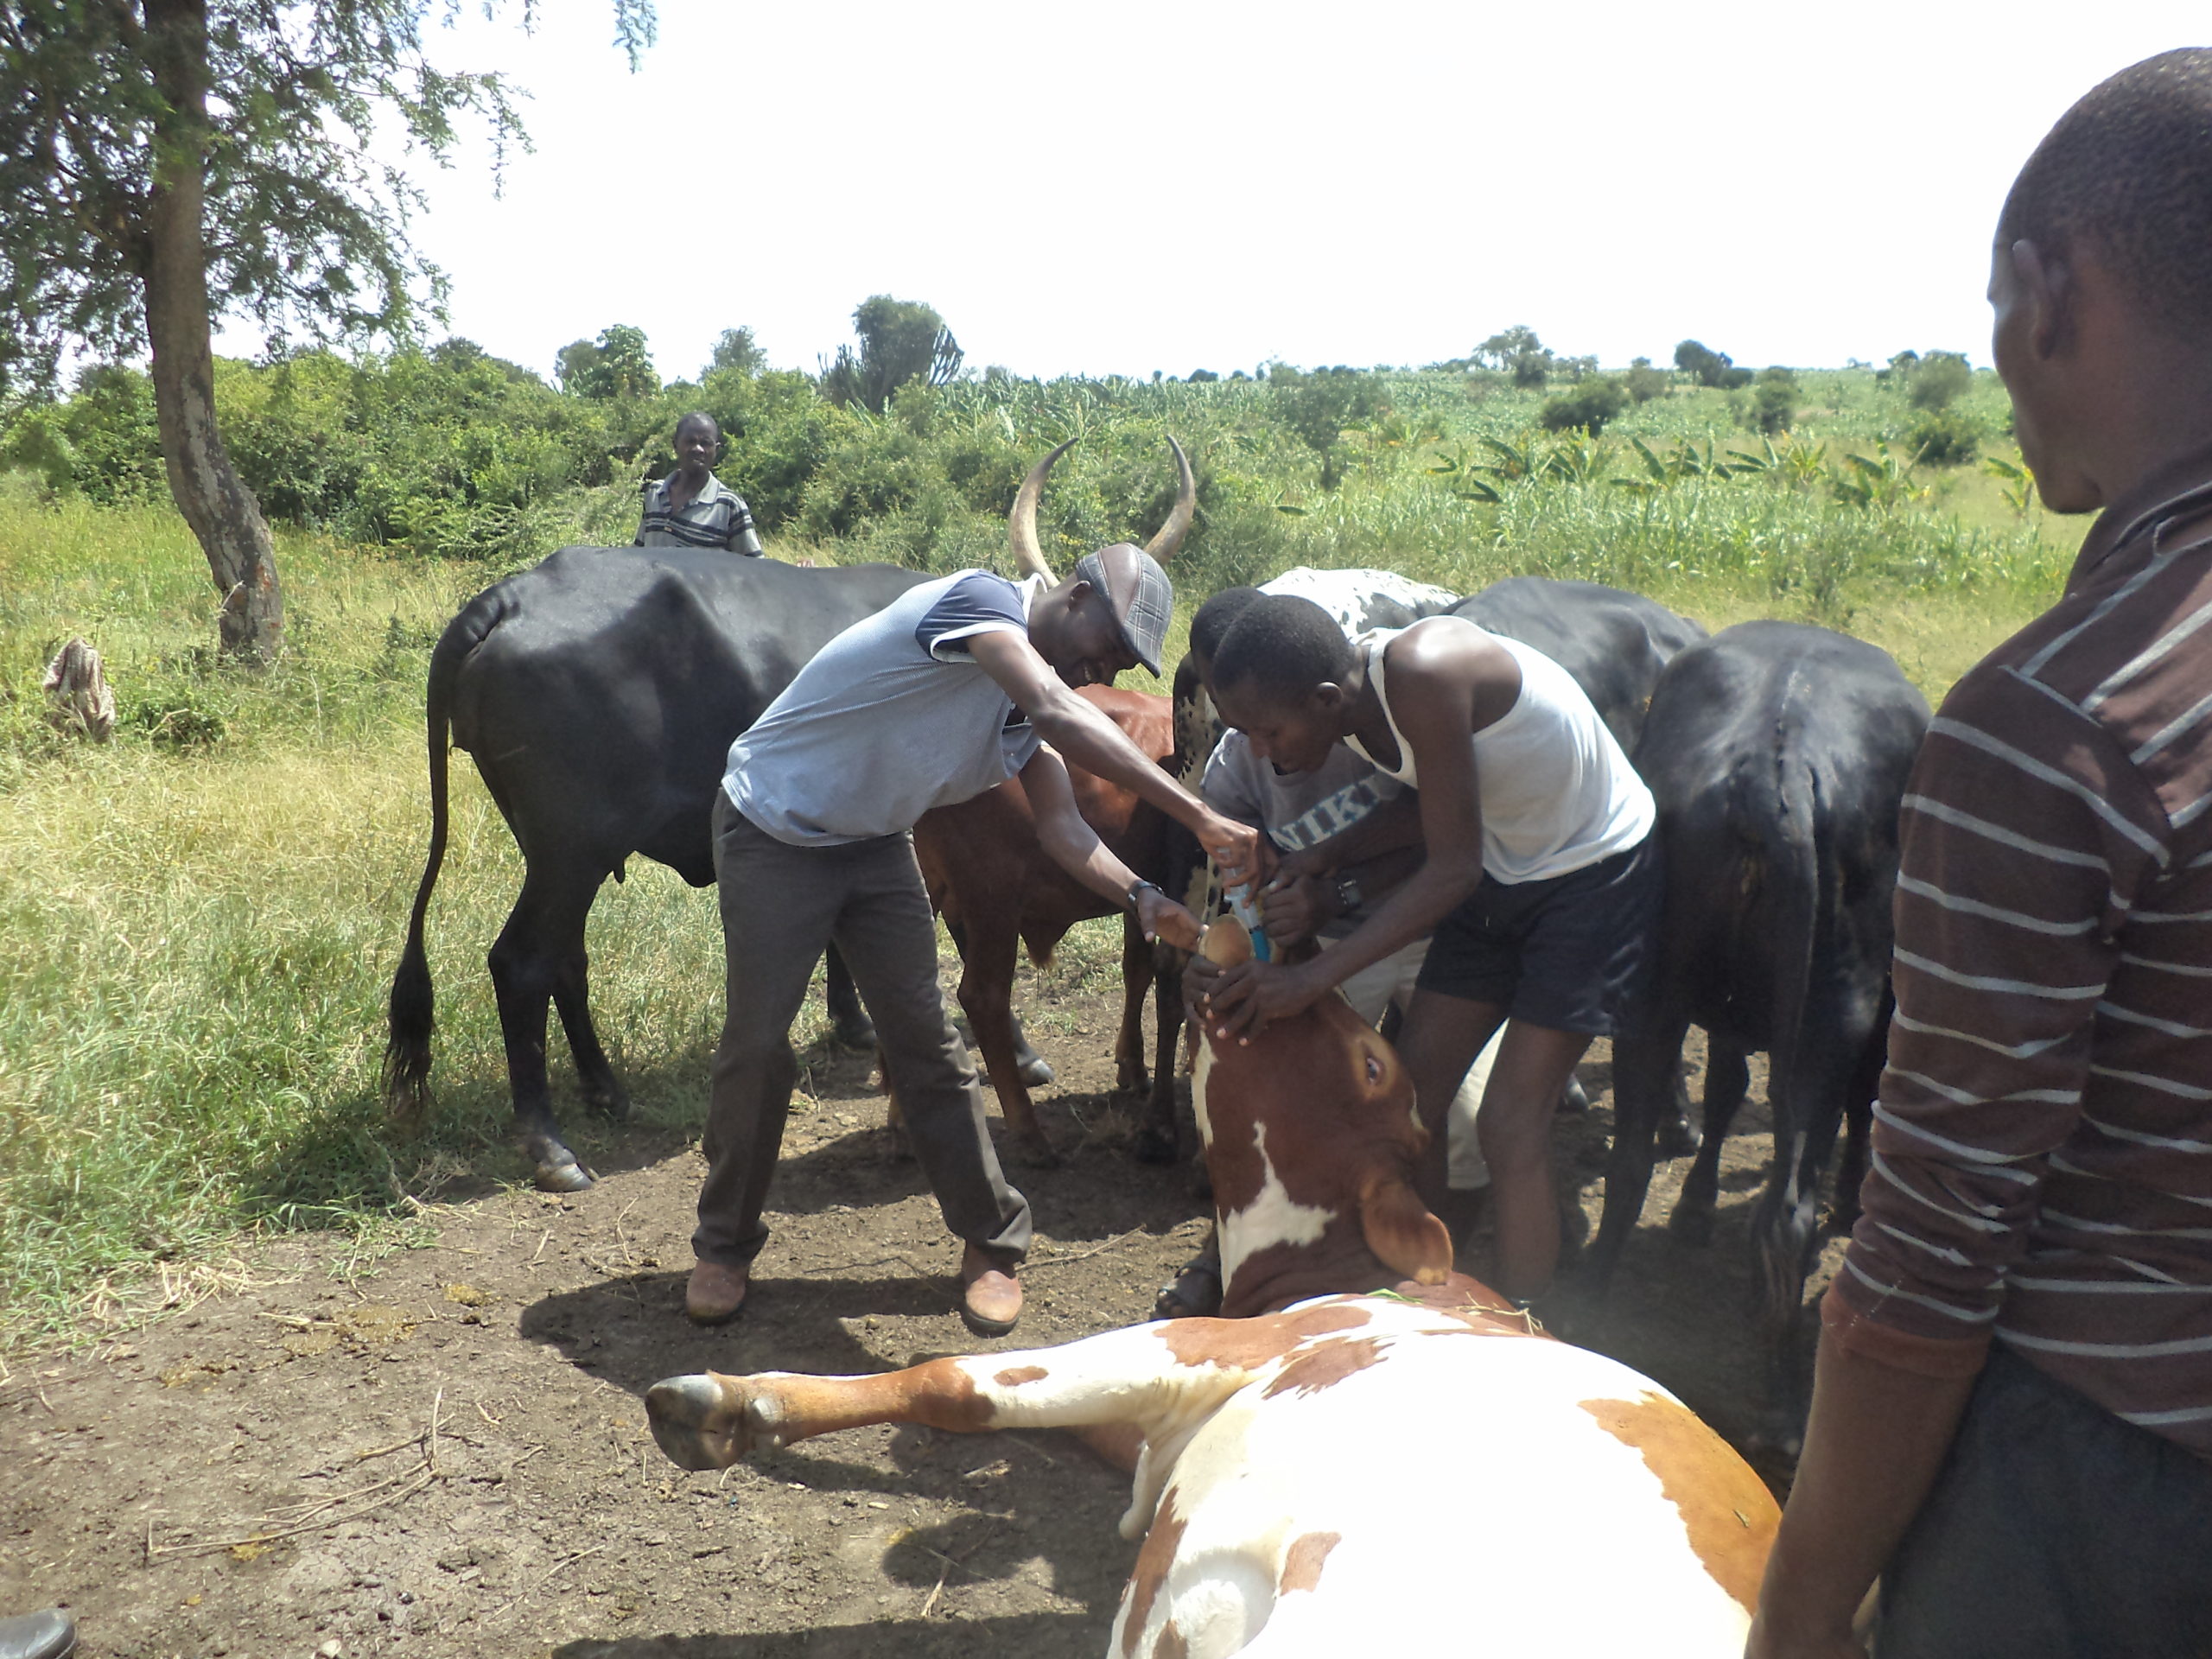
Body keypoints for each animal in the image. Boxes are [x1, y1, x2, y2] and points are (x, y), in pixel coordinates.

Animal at [385, 553, 938, 1185]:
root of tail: (512, 595)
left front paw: (851, 1023)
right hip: (573, 851)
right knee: (521, 964)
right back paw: (551, 1147)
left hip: (561, 857)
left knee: (564, 960)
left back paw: (606, 1091)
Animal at [645, 925, 1778, 1659]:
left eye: (1372, 1062)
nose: (1264, 940)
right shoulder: (1168, 1411)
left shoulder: (1215, 1346)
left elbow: (958, 1381)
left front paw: (738, 1405)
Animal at [1583, 619, 1929, 1451]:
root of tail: (1780, 767)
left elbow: (1725, 1089)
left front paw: (1696, 1206)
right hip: (1832, 1016)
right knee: (1786, 1209)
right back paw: (1781, 1399)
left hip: (1657, 989)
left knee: (1632, 1163)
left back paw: (1582, 1307)